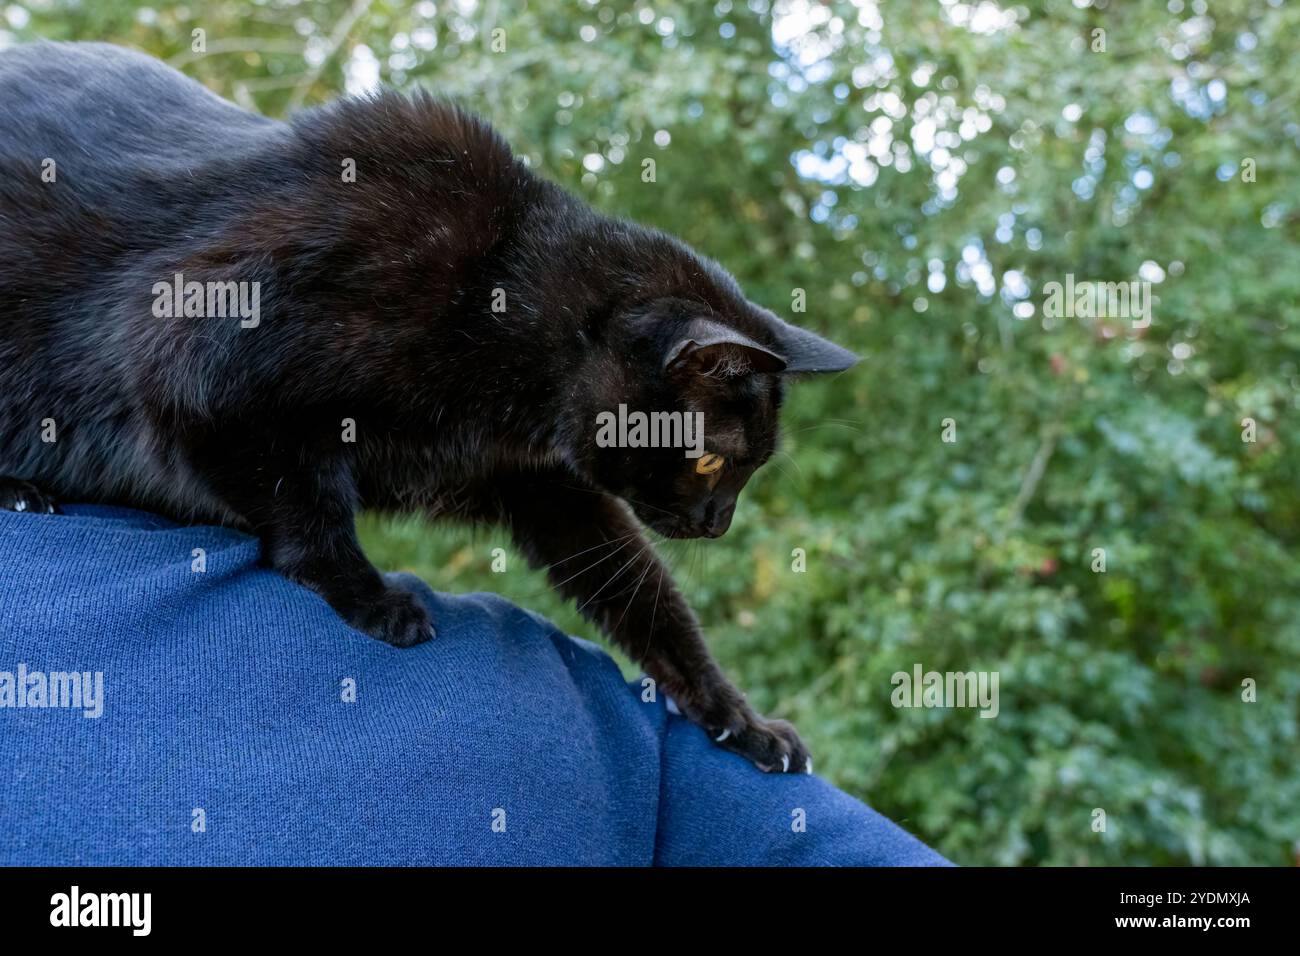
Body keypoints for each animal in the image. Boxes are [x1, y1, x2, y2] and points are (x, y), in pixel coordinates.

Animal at [2, 44, 863, 775]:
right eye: (713, 458)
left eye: (748, 468)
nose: (720, 521)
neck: (504, 300)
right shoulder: (182, 342)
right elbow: (302, 505)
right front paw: (369, 595)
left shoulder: (542, 484)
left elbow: (645, 598)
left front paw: (736, 717)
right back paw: (22, 490)